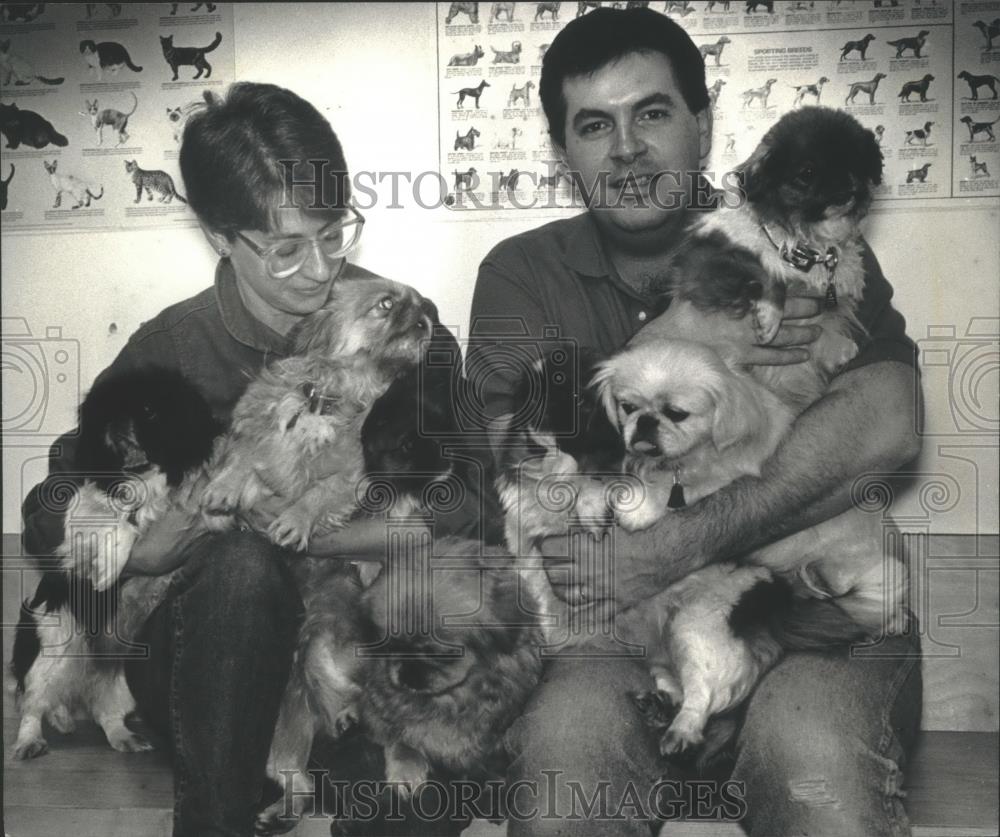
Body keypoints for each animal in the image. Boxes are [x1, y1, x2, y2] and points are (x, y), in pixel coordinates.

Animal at [10, 366, 218, 756]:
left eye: (150, 411)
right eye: (107, 411)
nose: (118, 421)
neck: (144, 479)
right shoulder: (82, 521)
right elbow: (119, 523)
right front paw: (107, 569)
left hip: (122, 674)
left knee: (106, 712)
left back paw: (123, 737)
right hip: (52, 648)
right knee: (34, 703)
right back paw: (32, 740)